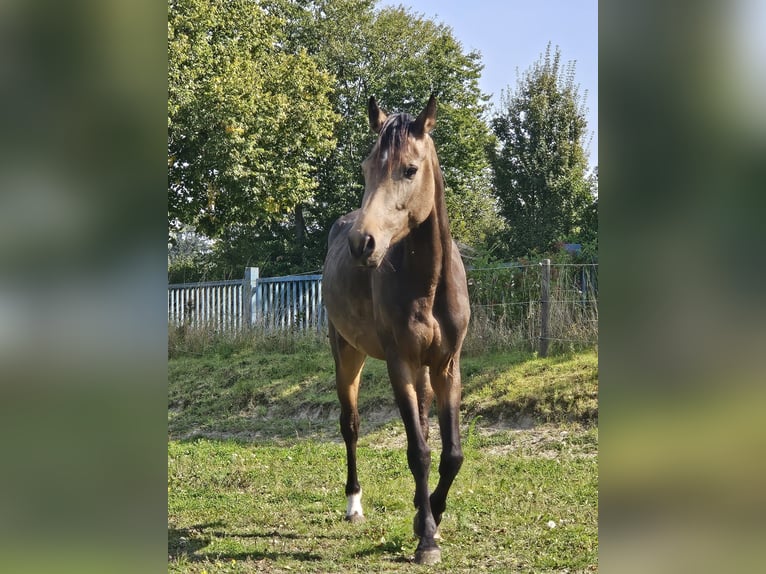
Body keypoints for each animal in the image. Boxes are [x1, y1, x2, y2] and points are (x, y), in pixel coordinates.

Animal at [320, 95, 472, 568]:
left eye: (409, 169)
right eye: (367, 167)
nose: (362, 244)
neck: (428, 283)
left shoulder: (446, 366)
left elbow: (451, 453)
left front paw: (429, 516)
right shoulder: (399, 364)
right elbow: (418, 452)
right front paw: (426, 538)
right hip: (347, 354)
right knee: (350, 425)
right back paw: (354, 505)